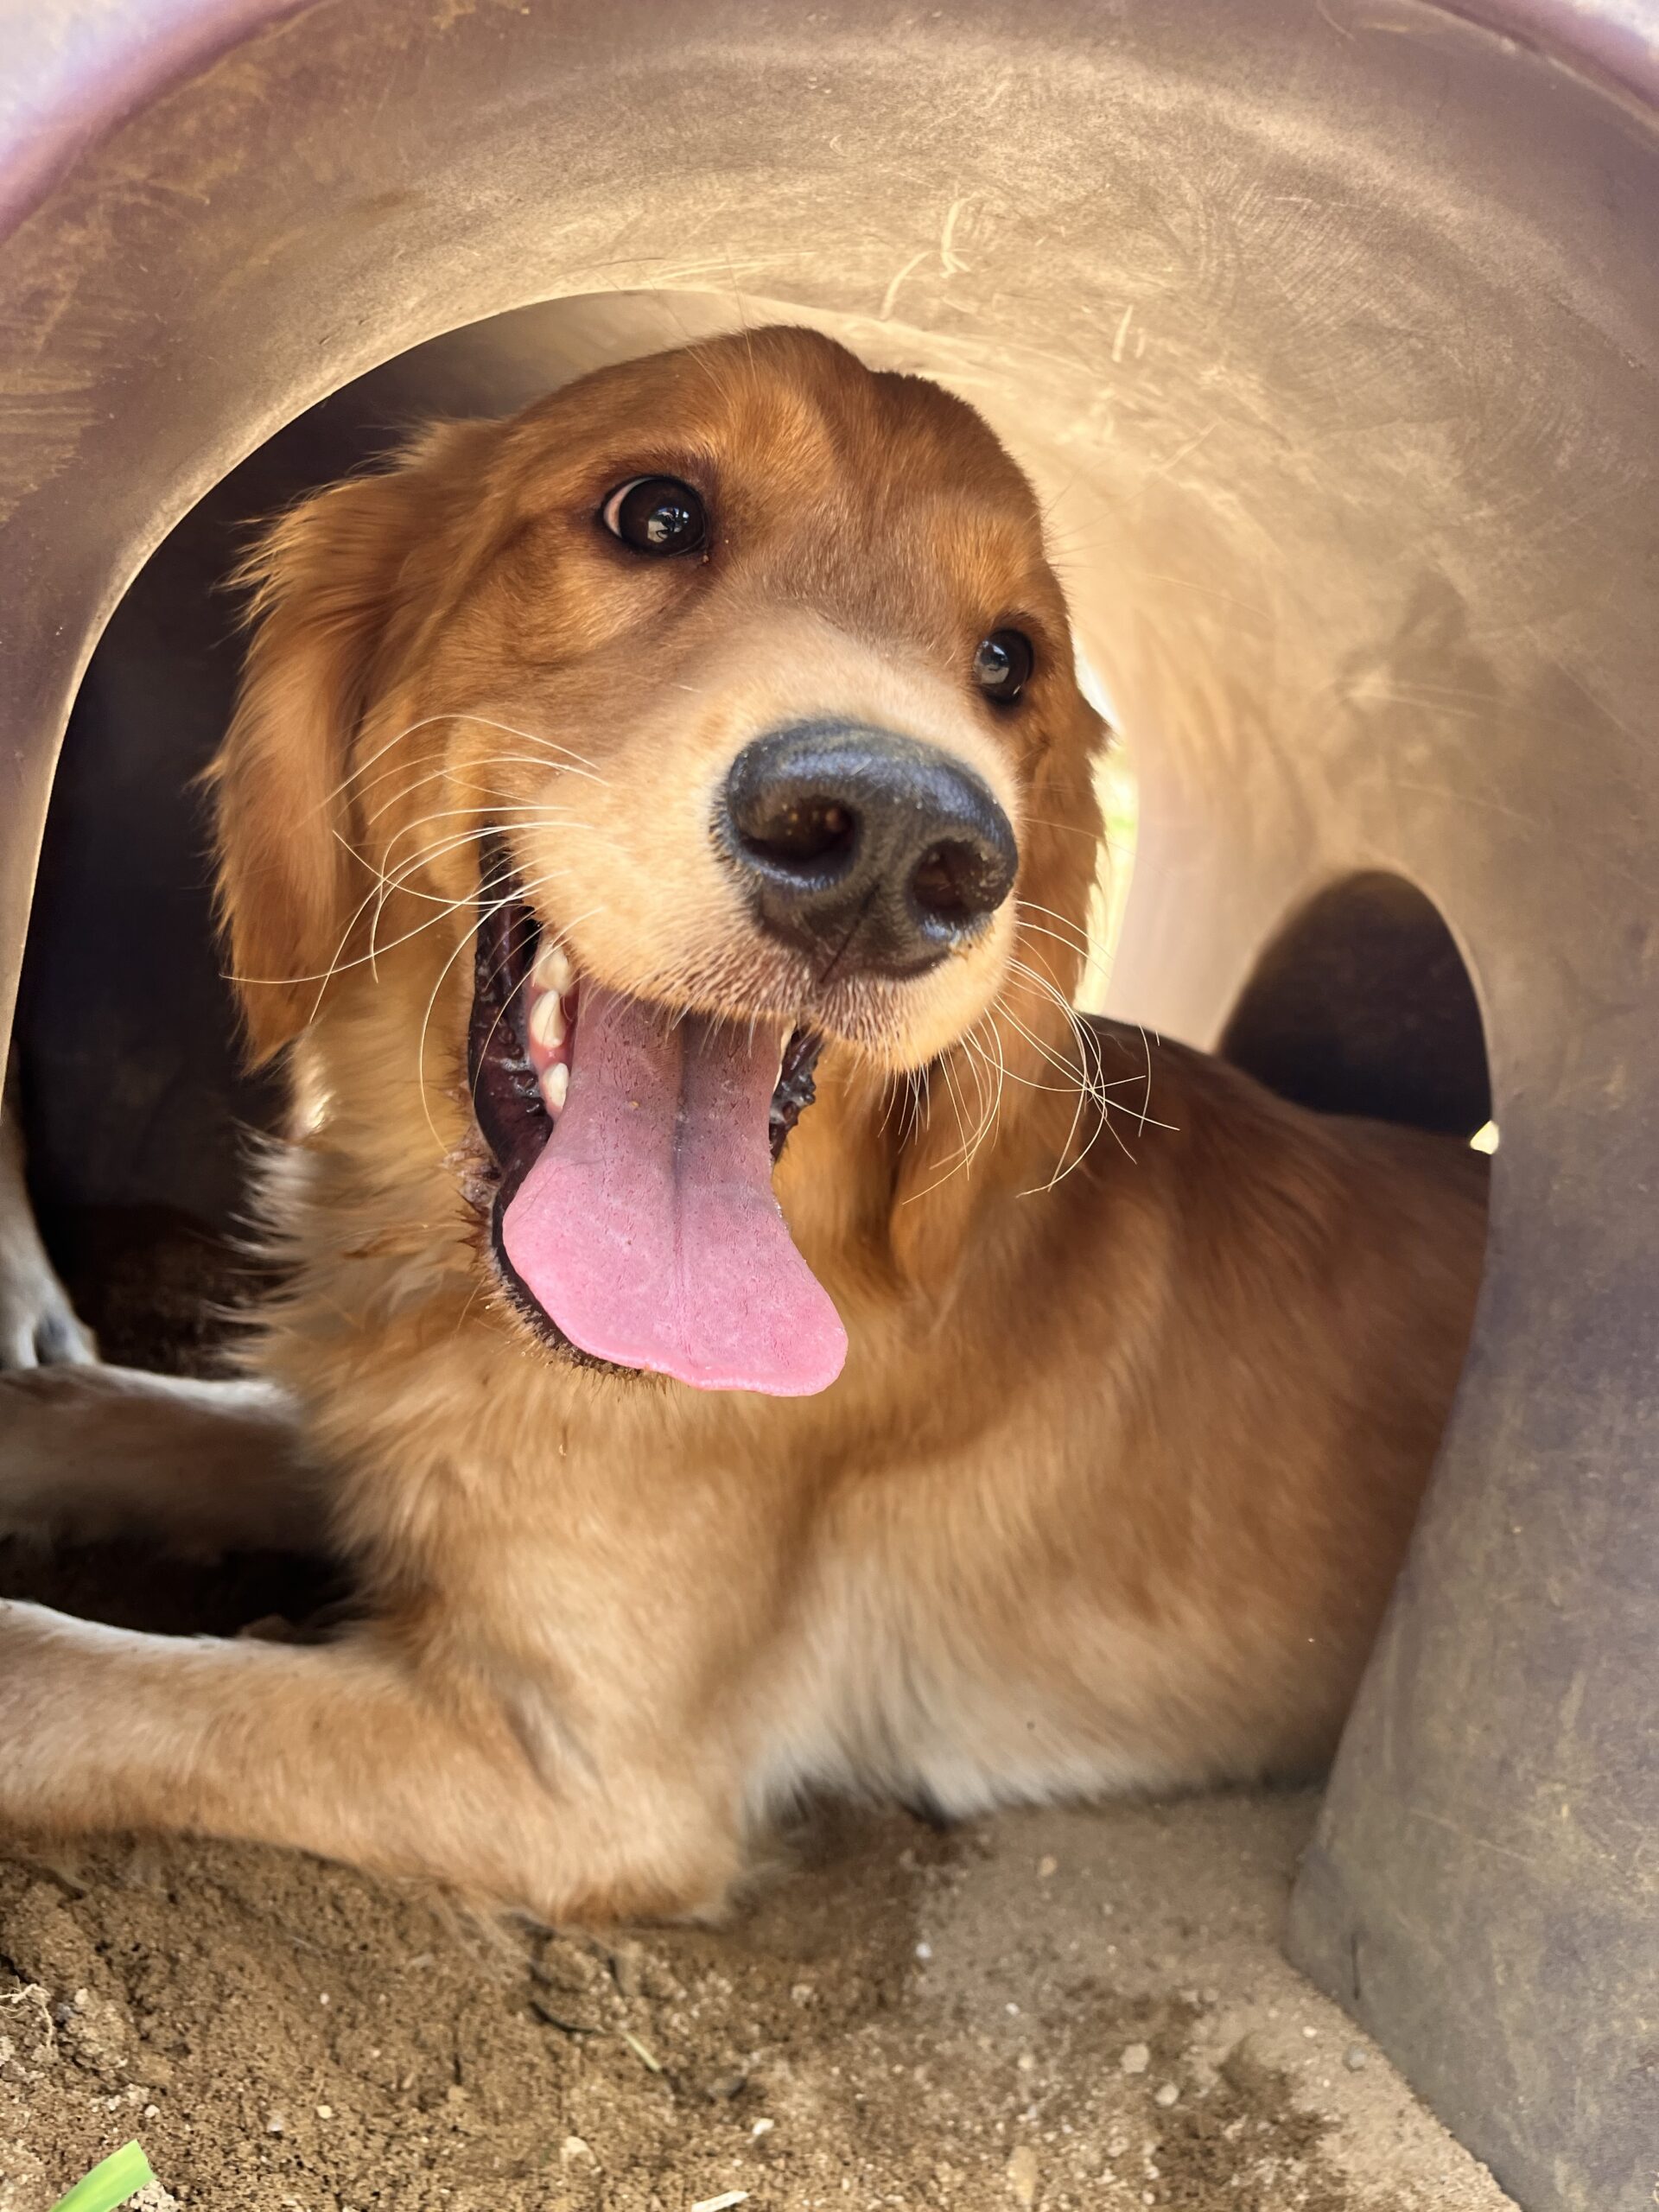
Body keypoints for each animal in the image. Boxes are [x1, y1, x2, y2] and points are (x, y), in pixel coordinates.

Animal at [0, 322, 1486, 1920]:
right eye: (655, 514)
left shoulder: (584, 1780)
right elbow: (117, 1410)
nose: (897, 843)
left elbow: (70, 1678)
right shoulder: (371, 1451)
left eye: (1010, 659)